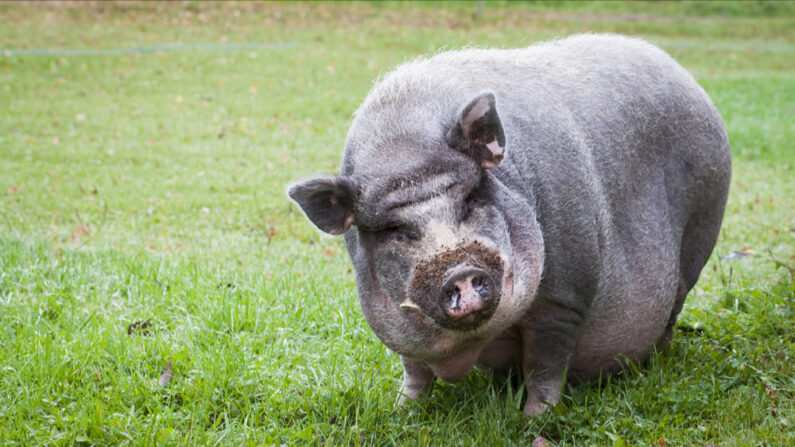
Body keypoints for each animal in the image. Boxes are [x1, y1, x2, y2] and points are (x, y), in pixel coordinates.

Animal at [290, 34, 732, 416]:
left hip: (701, 231)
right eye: (395, 230)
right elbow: (414, 371)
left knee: (674, 305)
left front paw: (535, 419)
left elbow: (545, 365)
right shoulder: (397, 330)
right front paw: (401, 411)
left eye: (471, 199)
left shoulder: (564, 296)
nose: (459, 270)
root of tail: (682, 73)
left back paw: (654, 362)